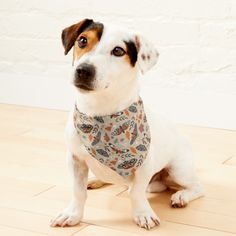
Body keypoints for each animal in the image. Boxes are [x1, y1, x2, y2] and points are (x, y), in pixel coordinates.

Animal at [50, 18, 204, 230]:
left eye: (118, 51)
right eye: (82, 40)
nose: (83, 70)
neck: (100, 113)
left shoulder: (144, 166)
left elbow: (136, 193)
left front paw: (143, 214)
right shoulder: (75, 159)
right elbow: (78, 191)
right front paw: (72, 214)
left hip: (179, 170)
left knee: (196, 187)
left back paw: (181, 196)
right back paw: (95, 180)